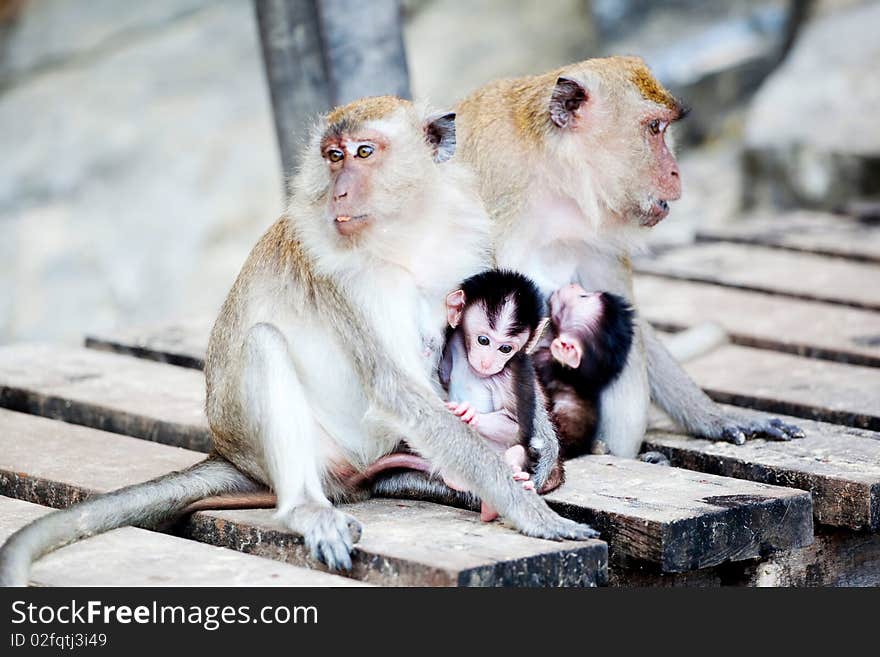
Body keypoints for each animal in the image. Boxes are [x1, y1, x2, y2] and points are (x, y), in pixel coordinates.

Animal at [0, 96, 596, 584]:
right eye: (333, 156)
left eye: (363, 151)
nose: (340, 189)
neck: (407, 233)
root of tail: (230, 452)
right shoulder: (342, 279)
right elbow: (395, 387)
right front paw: (528, 509)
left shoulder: (469, 234)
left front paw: (542, 450)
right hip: (312, 450)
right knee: (265, 344)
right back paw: (309, 508)